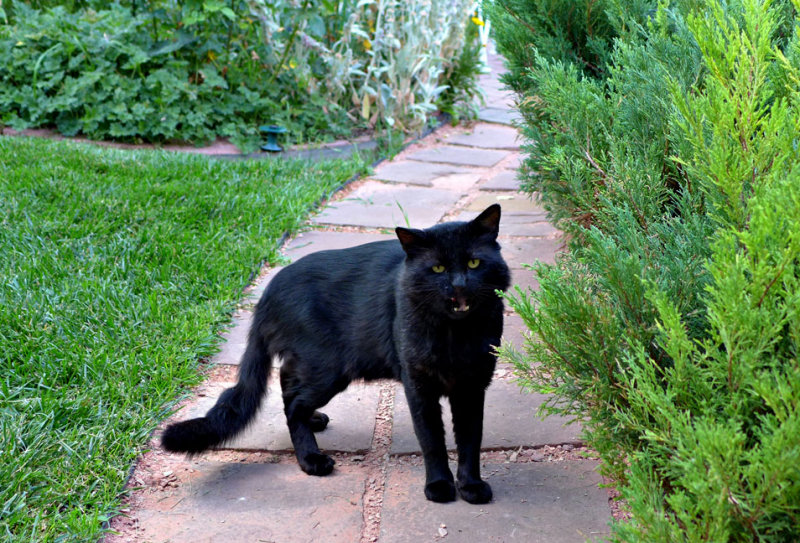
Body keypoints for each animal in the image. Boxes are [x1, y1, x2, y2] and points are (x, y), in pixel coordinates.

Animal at [161, 204, 512, 506]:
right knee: (293, 403)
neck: (456, 334)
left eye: (474, 263)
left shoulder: (472, 387)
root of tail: (268, 292)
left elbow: (470, 440)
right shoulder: (419, 387)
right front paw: (439, 486)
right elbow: (432, 440)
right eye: (438, 267)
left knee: (288, 384)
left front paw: (471, 485)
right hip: (328, 369)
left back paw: (314, 421)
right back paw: (311, 459)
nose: (459, 285)